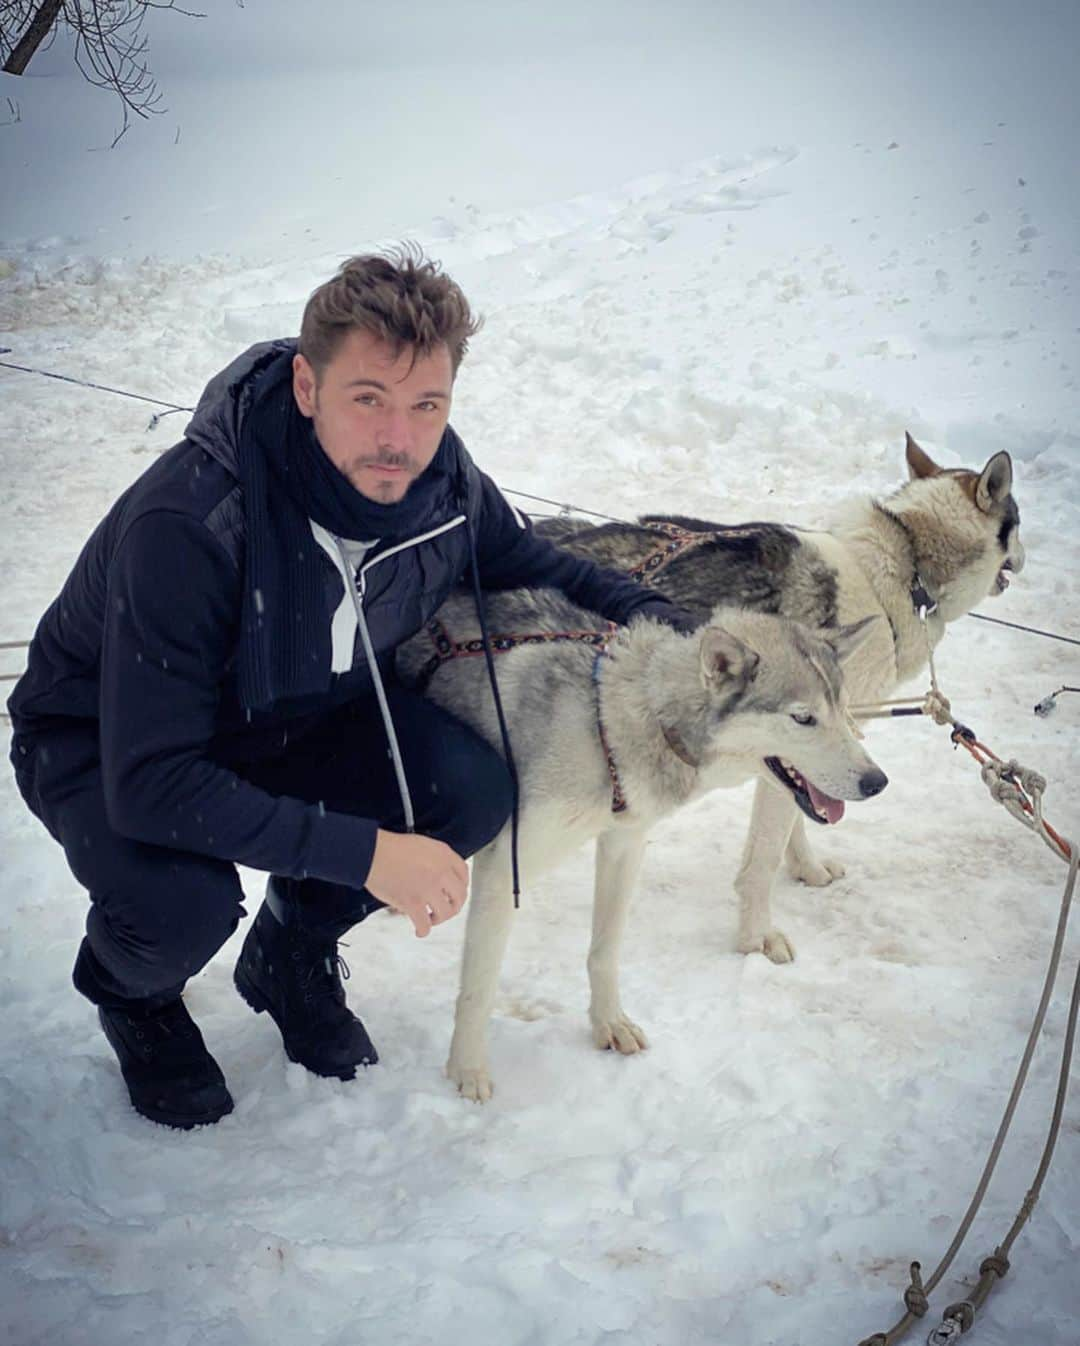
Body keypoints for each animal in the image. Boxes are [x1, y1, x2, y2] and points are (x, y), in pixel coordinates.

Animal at [395, 594, 883, 1098]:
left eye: (843, 707)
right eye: (803, 718)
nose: (877, 781)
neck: (610, 723)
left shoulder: (623, 848)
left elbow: (604, 953)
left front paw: (609, 1024)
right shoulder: (501, 871)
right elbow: (480, 987)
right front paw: (467, 1070)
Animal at [533, 436, 1023, 963]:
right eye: (1018, 525)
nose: (1024, 557)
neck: (906, 564)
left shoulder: (808, 755)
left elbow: (803, 814)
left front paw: (807, 869)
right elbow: (763, 859)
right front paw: (755, 938)